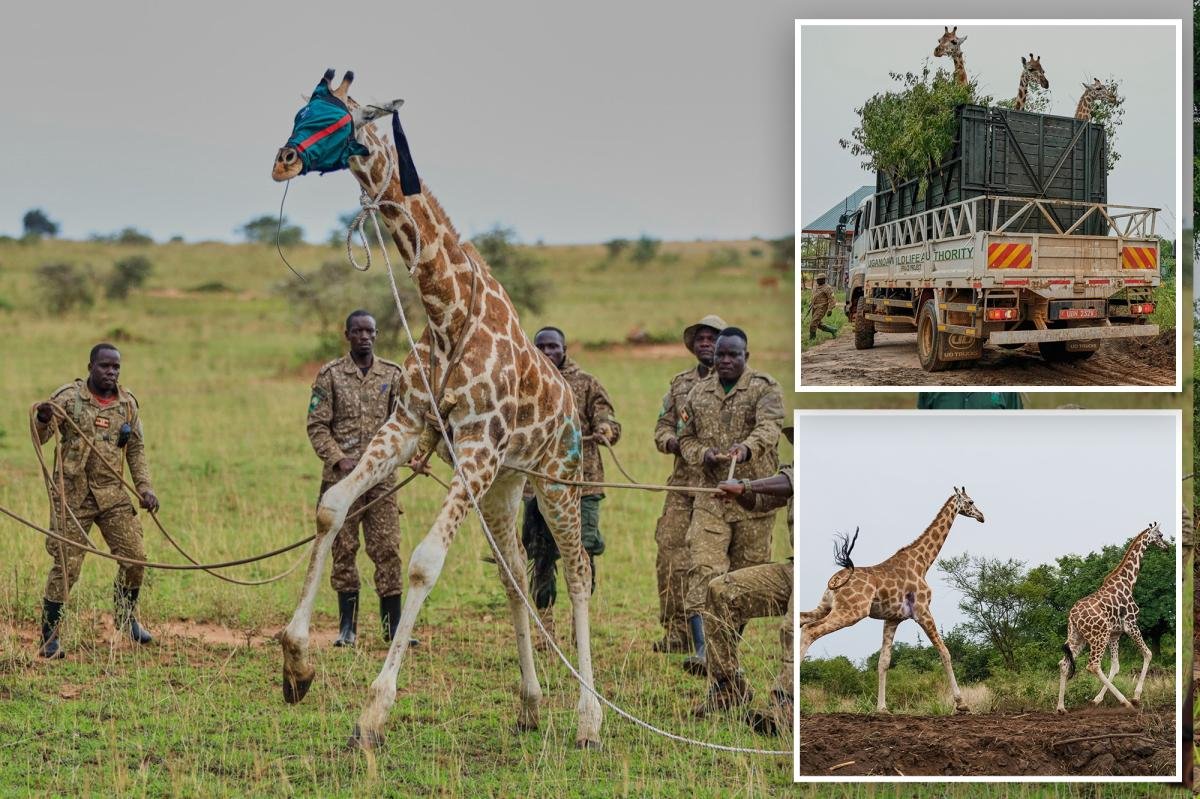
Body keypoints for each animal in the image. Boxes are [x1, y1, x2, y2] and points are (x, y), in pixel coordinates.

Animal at [270, 70, 602, 750]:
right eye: (298, 109)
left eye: (330, 115)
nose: (282, 159)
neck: (445, 309)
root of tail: (566, 404)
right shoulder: (410, 425)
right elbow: (331, 507)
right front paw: (297, 662)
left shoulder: (476, 446)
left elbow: (424, 564)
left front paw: (372, 713)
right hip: (504, 485)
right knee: (513, 575)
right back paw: (530, 705)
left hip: (555, 478)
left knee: (580, 571)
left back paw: (589, 720)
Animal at [797, 487, 985, 714]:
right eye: (971, 501)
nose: (982, 516)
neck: (923, 562)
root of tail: (835, 580)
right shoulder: (922, 610)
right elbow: (945, 652)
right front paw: (961, 703)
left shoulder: (892, 618)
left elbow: (883, 661)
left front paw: (882, 708)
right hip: (851, 611)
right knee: (811, 629)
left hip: (825, 606)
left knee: (802, 621)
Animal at [1056, 522, 1170, 714]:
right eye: (1160, 535)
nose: (1167, 547)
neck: (1128, 582)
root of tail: (1072, 616)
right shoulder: (1131, 624)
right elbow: (1148, 653)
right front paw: (1136, 698)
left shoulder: (1115, 634)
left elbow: (1115, 666)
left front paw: (1097, 699)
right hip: (1098, 635)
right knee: (1093, 665)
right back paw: (1126, 702)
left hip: (1078, 636)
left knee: (1064, 664)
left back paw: (1061, 708)